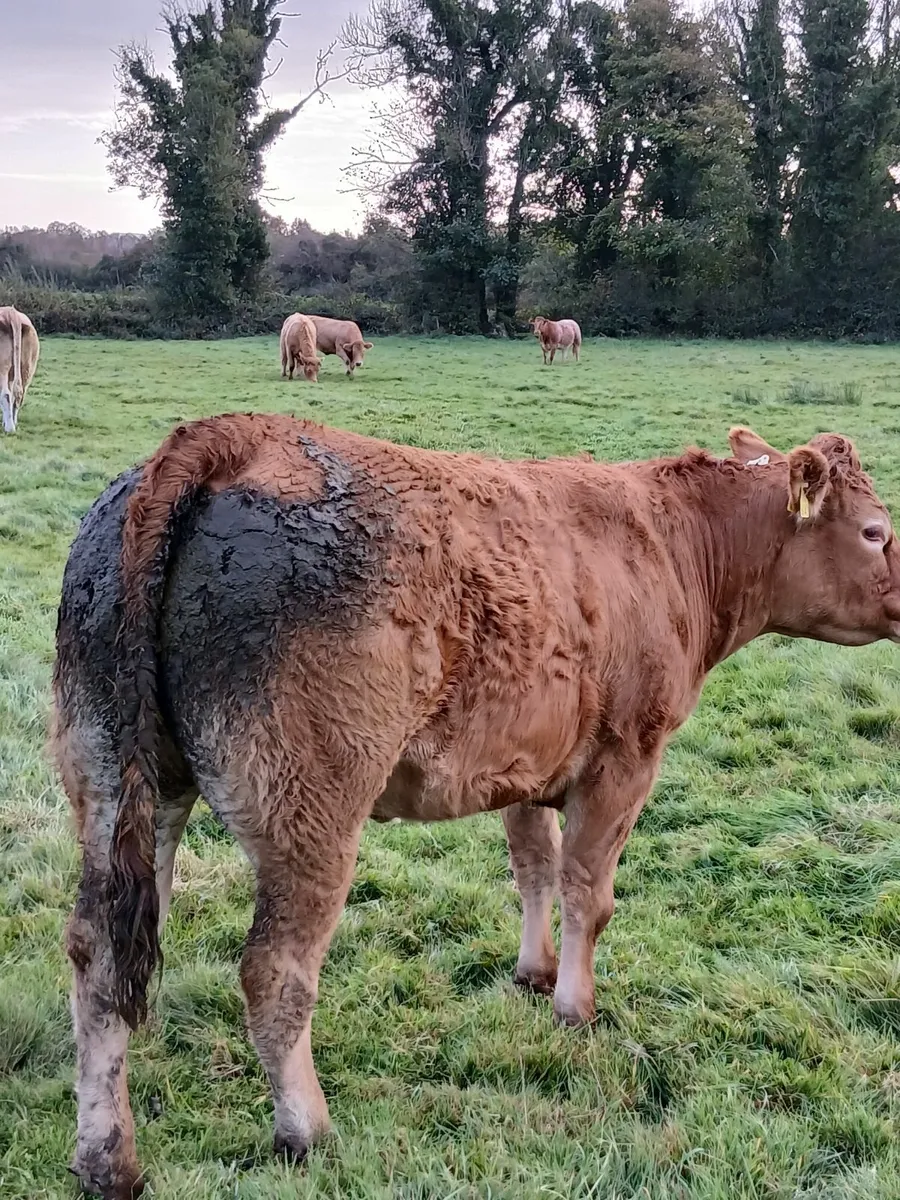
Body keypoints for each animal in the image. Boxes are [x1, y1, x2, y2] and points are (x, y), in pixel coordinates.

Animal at [0, 305, 40, 433]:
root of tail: (11, 312)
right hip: (27, 365)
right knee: (18, 393)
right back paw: (13, 423)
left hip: (2, 366)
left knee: (6, 394)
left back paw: (10, 428)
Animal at [53, 415, 900, 1197]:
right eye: (875, 532)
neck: (672, 542)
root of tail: (229, 436)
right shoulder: (626, 759)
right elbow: (588, 892)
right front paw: (576, 1007)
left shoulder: (527, 768)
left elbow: (534, 869)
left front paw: (534, 972)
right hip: (311, 808)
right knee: (274, 971)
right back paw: (306, 1129)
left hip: (120, 782)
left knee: (103, 951)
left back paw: (107, 1157)